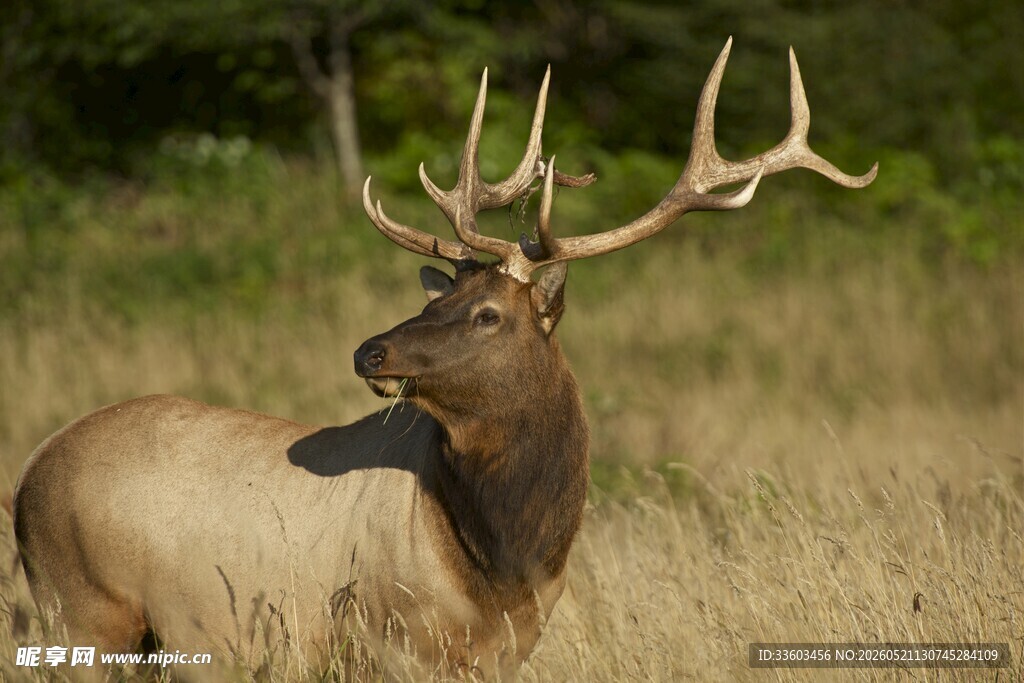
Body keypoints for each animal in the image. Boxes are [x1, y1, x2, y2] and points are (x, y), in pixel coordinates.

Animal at [13, 39, 875, 678]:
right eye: (435, 301)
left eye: (487, 313)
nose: (370, 348)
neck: (505, 564)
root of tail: (26, 472)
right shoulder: (386, 642)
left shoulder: (505, 653)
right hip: (82, 611)